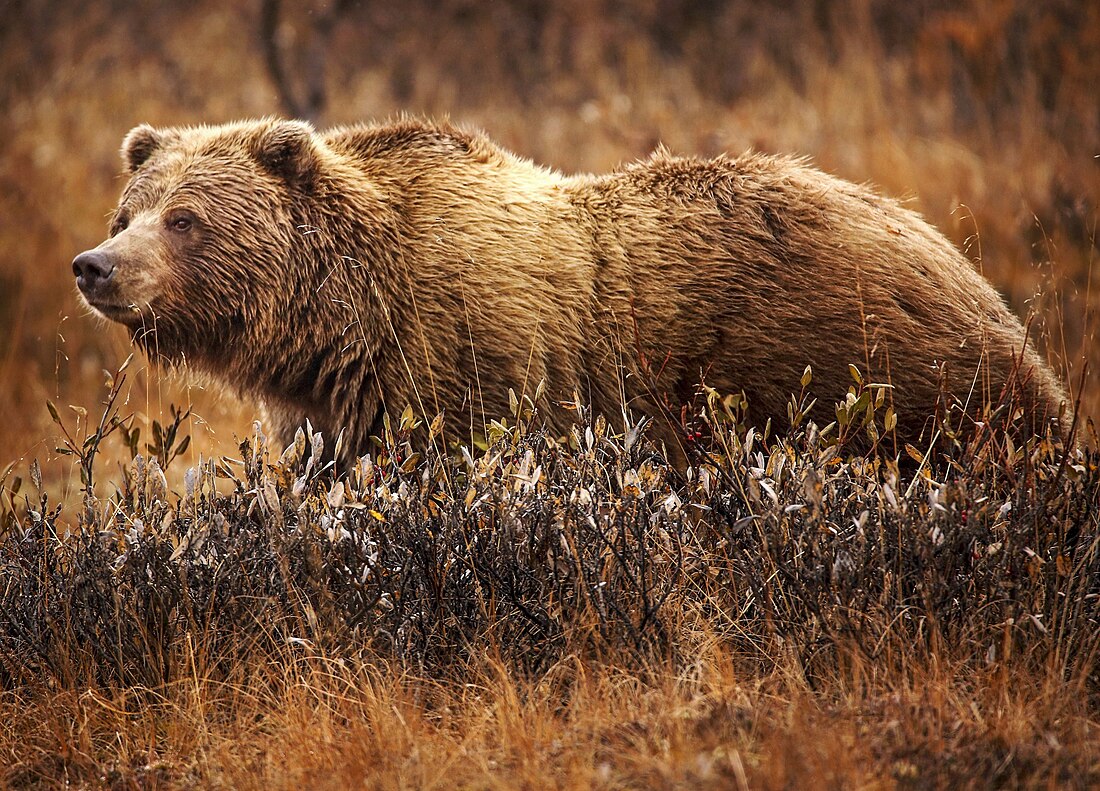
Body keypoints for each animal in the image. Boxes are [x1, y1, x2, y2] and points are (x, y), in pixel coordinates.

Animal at [70, 119, 1064, 462]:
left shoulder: (469, 366)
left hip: (873, 374)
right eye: (129, 209)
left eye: (186, 218)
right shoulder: (337, 408)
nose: (95, 265)